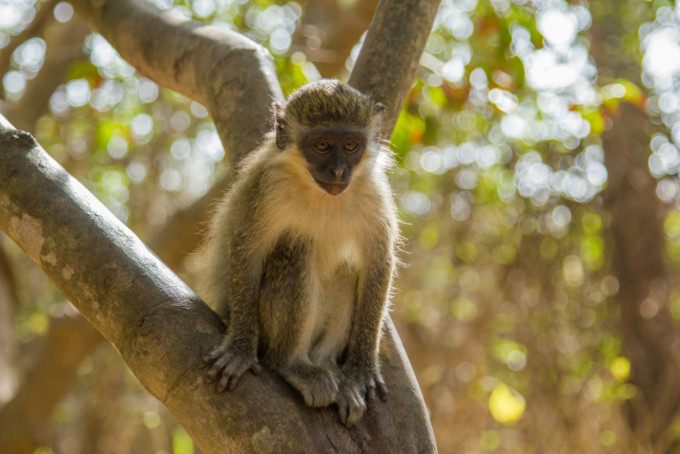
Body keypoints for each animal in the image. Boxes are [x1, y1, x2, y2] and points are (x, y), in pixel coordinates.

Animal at [197, 78, 398, 426]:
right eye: (322, 145)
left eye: (350, 146)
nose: (338, 171)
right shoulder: (267, 188)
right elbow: (248, 252)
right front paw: (239, 349)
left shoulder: (374, 193)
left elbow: (377, 266)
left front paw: (361, 371)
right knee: (296, 245)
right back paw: (291, 364)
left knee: (349, 270)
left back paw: (330, 368)